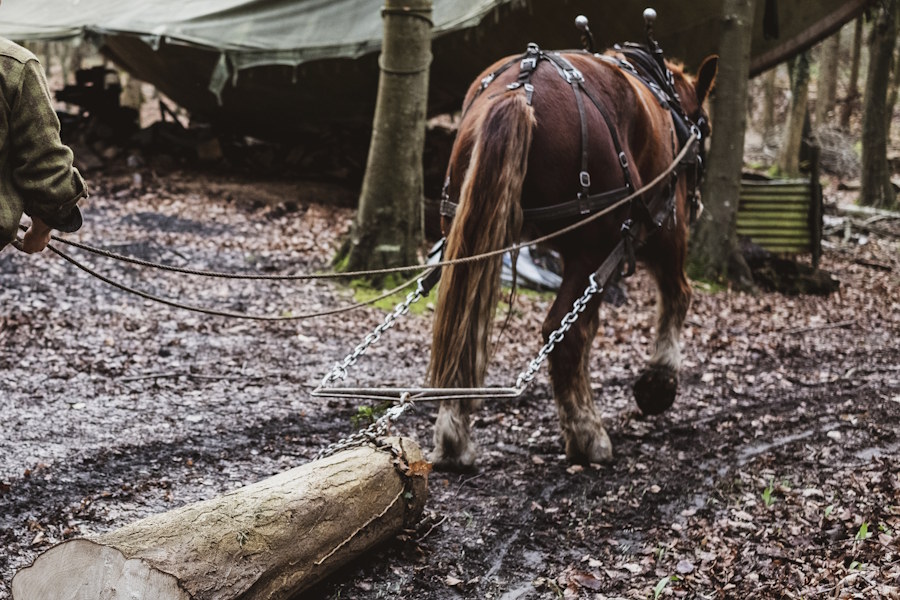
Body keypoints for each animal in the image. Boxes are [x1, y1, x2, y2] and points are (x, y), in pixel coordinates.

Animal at [426, 40, 718, 471]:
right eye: (707, 129)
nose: (698, 205)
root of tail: (520, 89)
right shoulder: (665, 227)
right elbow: (678, 293)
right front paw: (659, 381)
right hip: (594, 249)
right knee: (567, 334)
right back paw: (588, 436)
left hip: (470, 234)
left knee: (466, 329)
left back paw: (453, 439)